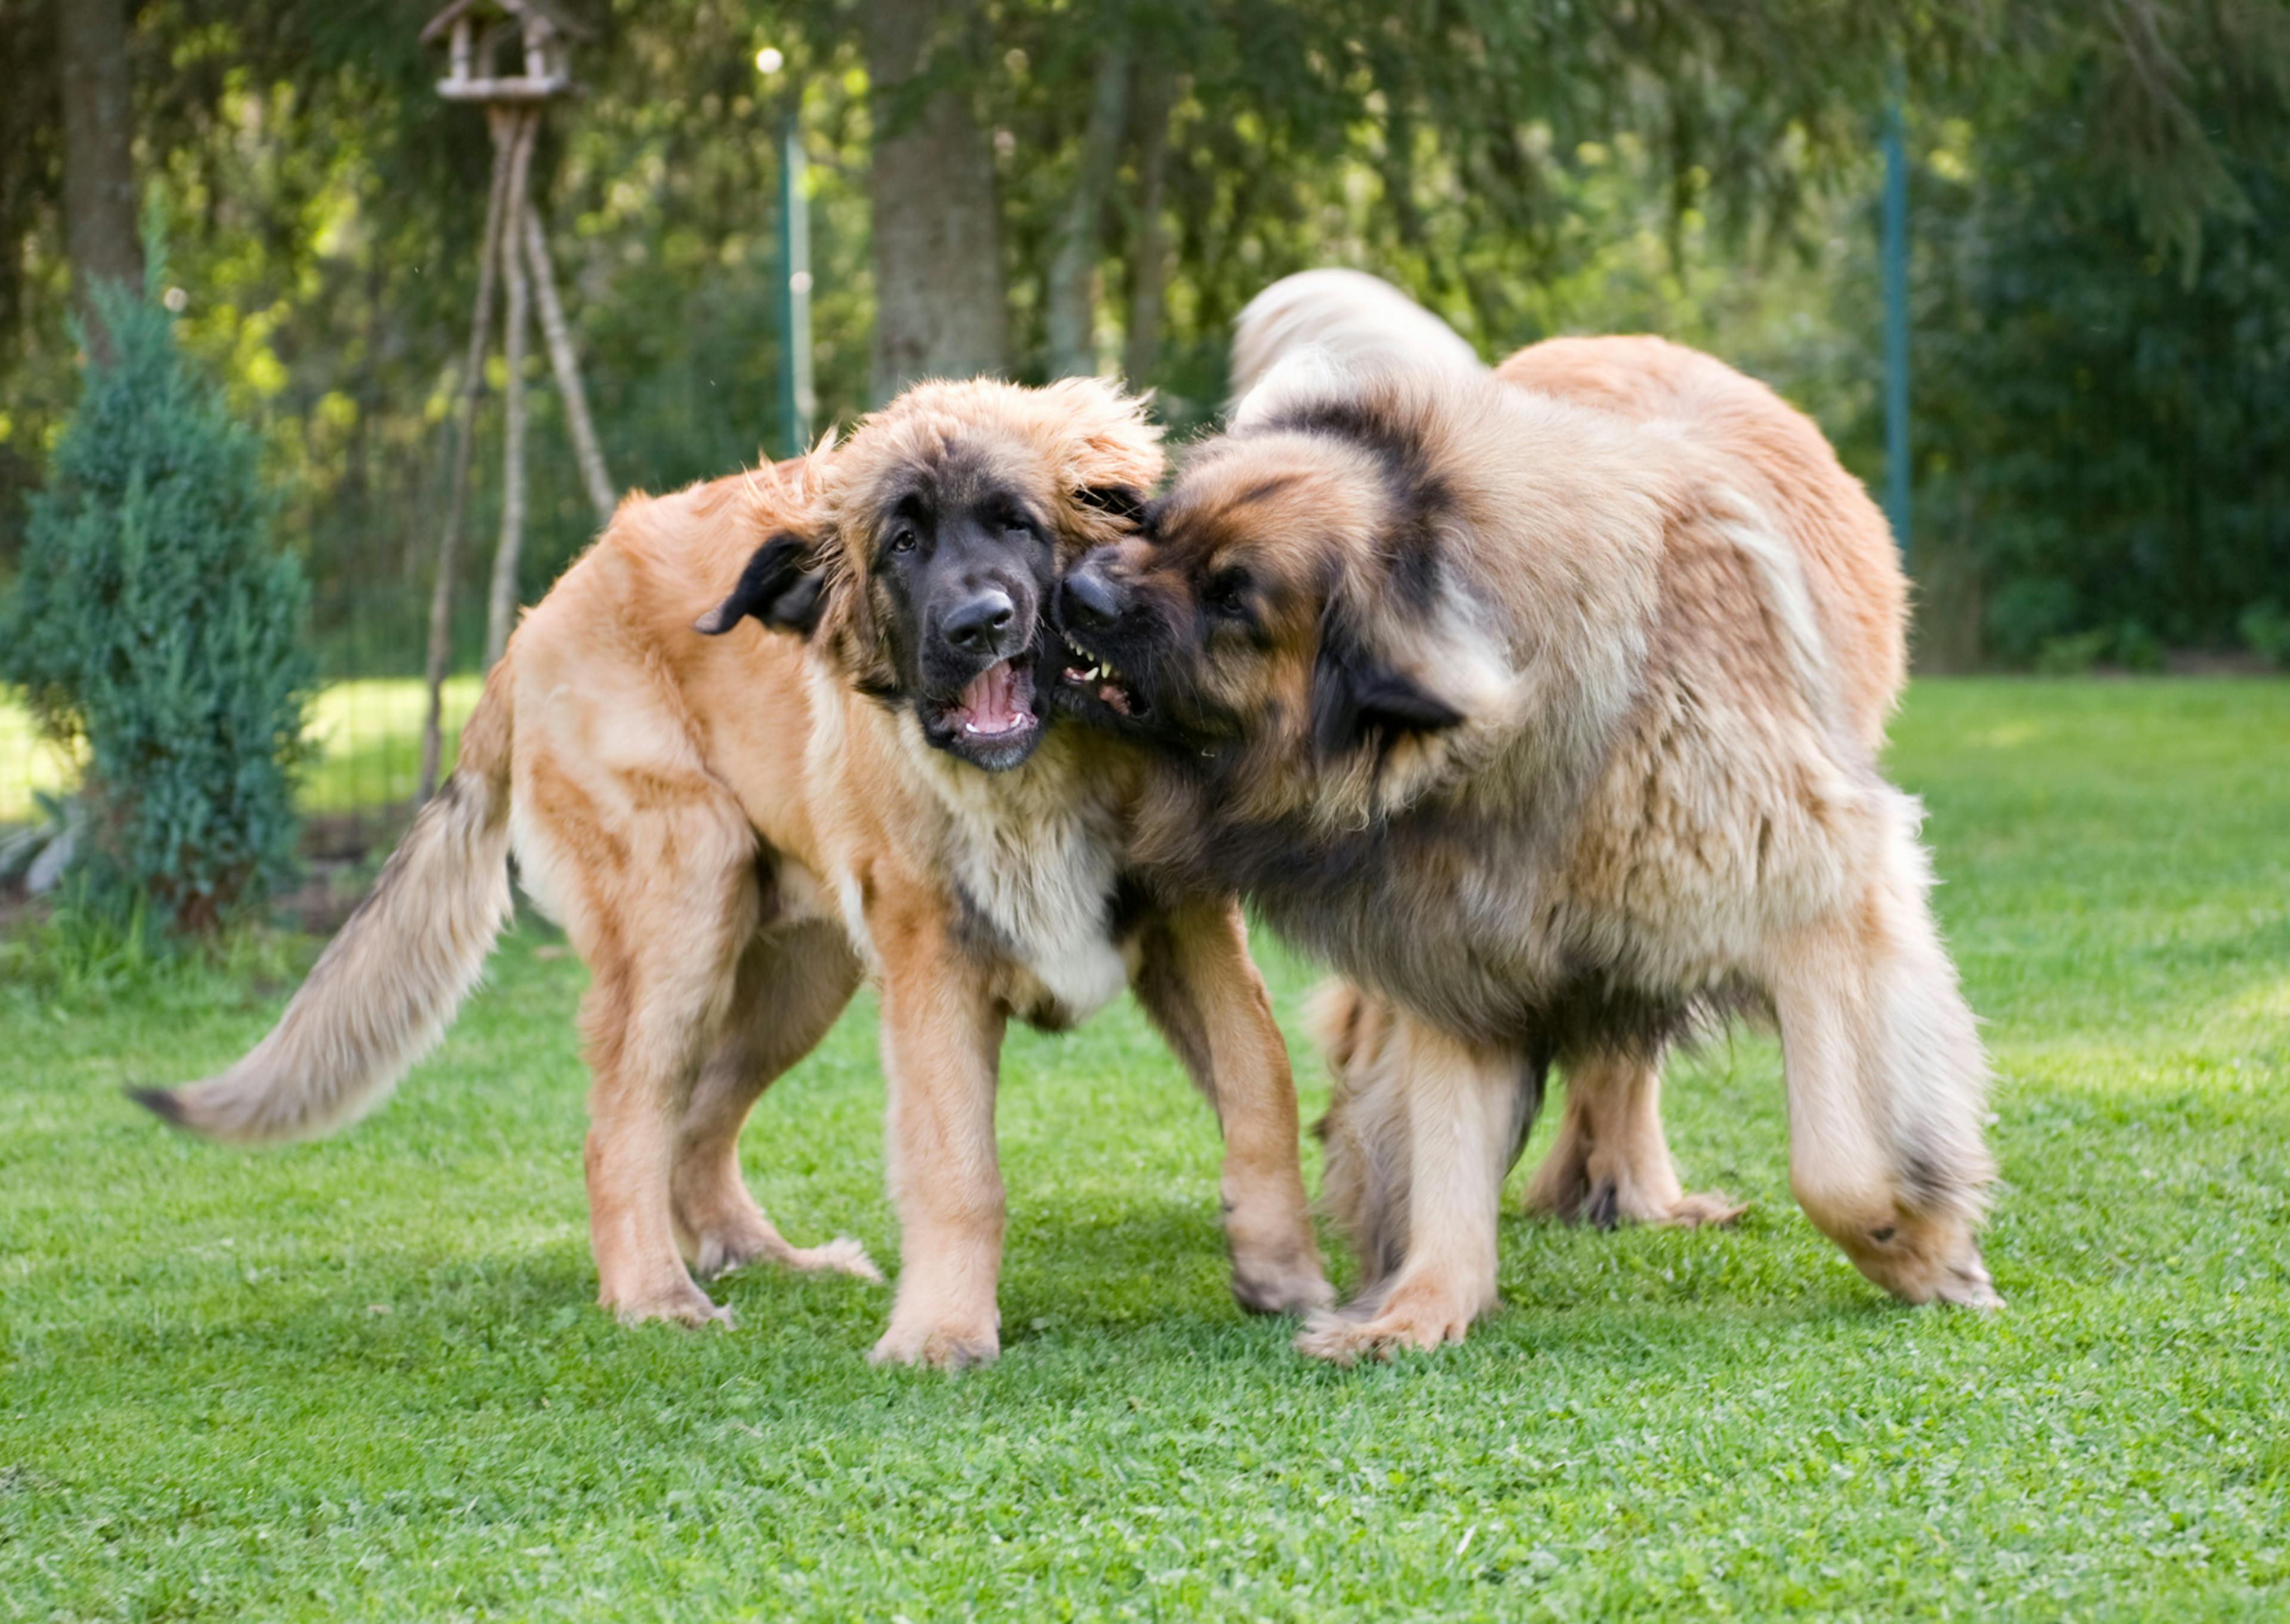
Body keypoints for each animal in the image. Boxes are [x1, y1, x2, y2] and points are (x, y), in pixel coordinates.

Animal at [134, 373, 1337, 1365]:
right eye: (903, 545)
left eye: (1018, 525)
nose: (978, 624)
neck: (1037, 778)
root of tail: (532, 625)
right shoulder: (933, 972)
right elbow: (957, 1166)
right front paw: (943, 1329)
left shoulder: (1190, 928)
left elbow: (1262, 1087)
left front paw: (1283, 1268)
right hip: (683, 911)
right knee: (622, 1129)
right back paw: (654, 1293)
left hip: (798, 971)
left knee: (696, 1124)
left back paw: (766, 1259)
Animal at [1048, 330, 1997, 1356]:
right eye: (1155, 522)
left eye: (1232, 599)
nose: (1076, 588)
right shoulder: (1451, 942)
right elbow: (1448, 1153)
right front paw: (1419, 1305)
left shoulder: (1823, 895)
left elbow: (1837, 1163)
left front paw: (1926, 1254)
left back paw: (1635, 1193)